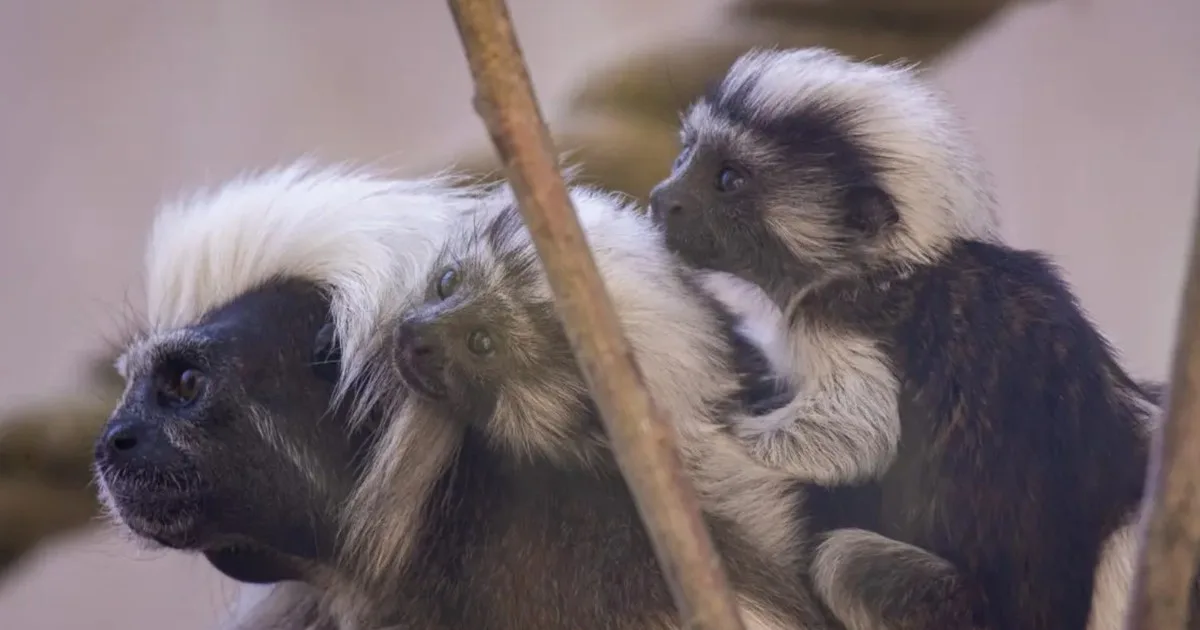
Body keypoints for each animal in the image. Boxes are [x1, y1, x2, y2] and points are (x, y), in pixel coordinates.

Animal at [646, 47, 1159, 630]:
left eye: (729, 179)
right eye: (687, 156)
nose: (664, 199)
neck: (890, 264)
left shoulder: (836, 314)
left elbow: (855, 434)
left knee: (847, 561)